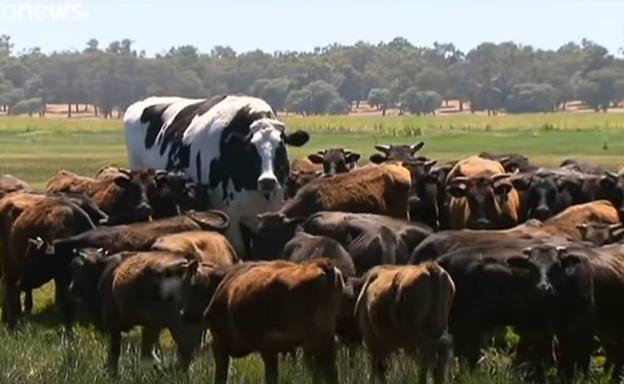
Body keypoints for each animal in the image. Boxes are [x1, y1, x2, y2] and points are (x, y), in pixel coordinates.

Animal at [180, 258, 346, 384]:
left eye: (190, 286)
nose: (183, 313)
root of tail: (322, 264)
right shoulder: (270, 349)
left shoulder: (221, 343)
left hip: (318, 341)